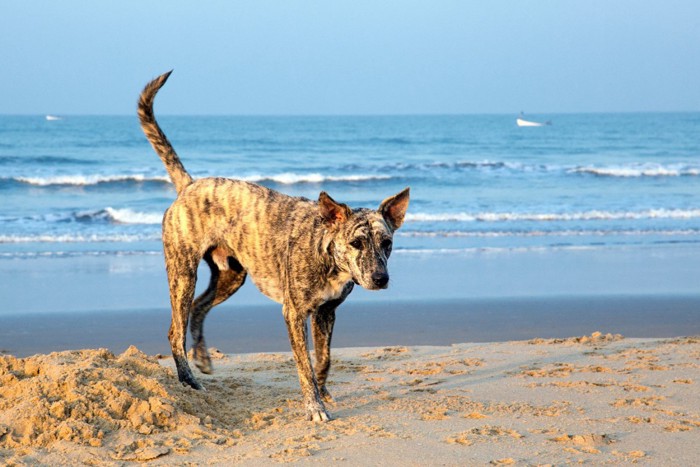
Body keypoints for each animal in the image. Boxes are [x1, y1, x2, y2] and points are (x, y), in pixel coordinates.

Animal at [137, 70, 410, 424]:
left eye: (387, 243)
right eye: (356, 243)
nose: (381, 279)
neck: (323, 251)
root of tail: (189, 186)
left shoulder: (326, 313)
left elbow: (324, 360)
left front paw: (324, 394)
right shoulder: (294, 313)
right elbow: (305, 365)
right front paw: (314, 407)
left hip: (231, 276)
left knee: (198, 307)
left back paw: (203, 358)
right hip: (183, 272)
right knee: (175, 329)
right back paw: (189, 380)